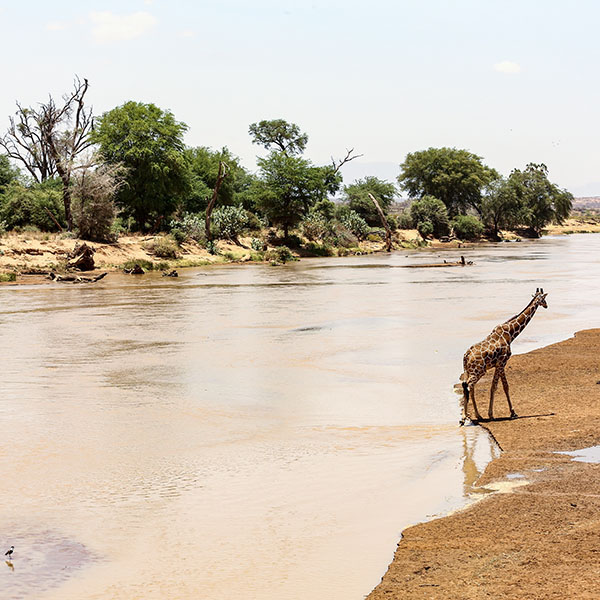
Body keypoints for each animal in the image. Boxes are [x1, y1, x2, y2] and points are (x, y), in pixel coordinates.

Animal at [460, 288, 548, 424]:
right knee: (468, 385)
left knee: (469, 386)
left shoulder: (499, 364)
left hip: (468, 371)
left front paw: (507, 412)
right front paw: (499, 414)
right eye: (543, 299)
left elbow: (501, 386)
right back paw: (465, 417)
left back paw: (477, 416)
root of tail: (466, 356)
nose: (546, 305)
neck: (510, 334)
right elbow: (499, 386)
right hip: (478, 371)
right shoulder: (502, 362)